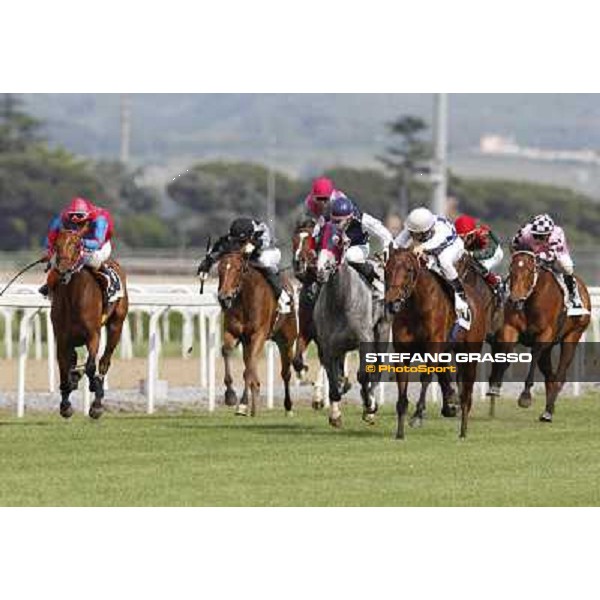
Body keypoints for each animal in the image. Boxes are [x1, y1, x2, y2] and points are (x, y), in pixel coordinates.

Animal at [50, 227, 129, 420]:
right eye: (56, 244)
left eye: (76, 244)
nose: (62, 270)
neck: (73, 297)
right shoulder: (62, 338)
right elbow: (64, 366)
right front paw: (65, 405)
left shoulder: (93, 334)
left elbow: (91, 366)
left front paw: (95, 390)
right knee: (74, 361)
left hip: (116, 325)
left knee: (104, 362)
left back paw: (97, 402)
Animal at [218, 248, 298, 418]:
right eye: (220, 269)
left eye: (238, 269)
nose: (224, 297)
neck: (244, 300)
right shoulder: (233, 333)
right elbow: (226, 352)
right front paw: (230, 395)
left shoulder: (258, 335)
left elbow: (248, 369)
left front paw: (242, 404)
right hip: (247, 342)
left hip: (287, 341)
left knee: (286, 373)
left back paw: (288, 407)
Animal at [312, 220, 392, 426]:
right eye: (318, 239)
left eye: (338, 240)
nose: (321, 270)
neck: (340, 301)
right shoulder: (327, 346)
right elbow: (334, 382)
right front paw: (335, 414)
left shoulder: (365, 339)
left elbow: (363, 375)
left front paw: (369, 405)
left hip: (382, 329)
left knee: (377, 368)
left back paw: (370, 407)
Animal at [386, 246, 494, 438]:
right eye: (387, 268)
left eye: (409, 270)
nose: (393, 302)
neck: (417, 306)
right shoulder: (402, 352)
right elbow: (402, 387)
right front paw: (400, 431)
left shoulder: (433, 347)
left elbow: (426, 377)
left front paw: (418, 415)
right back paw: (450, 405)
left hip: (471, 354)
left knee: (467, 392)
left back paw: (463, 428)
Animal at [488, 248, 592, 422]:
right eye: (511, 269)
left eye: (530, 271)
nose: (515, 300)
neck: (530, 302)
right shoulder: (510, 329)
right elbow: (506, 352)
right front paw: (494, 387)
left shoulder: (545, 335)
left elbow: (534, 354)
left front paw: (525, 396)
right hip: (549, 349)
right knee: (550, 376)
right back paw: (549, 408)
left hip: (573, 335)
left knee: (560, 375)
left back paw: (547, 412)